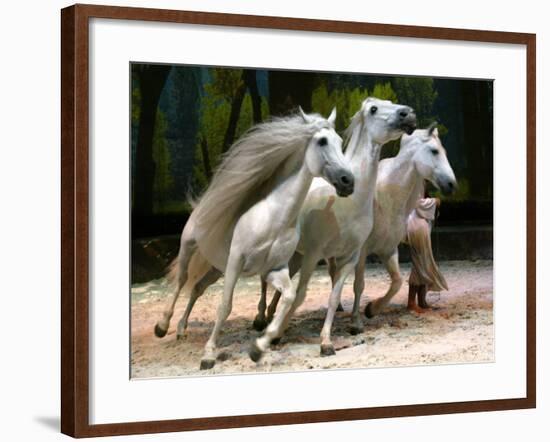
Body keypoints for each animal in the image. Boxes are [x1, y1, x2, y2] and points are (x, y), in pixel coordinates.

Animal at [153, 108, 358, 370]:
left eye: (341, 142)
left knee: (197, 288)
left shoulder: (273, 269)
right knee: (181, 281)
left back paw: (181, 329)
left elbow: (288, 297)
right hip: (189, 247)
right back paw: (162, 326)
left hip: (217, 268)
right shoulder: (236, 261)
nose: (348, 181)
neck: (275, 219)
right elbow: (225, 305)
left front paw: (258, 348)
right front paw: (208, 355)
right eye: (322, 141)